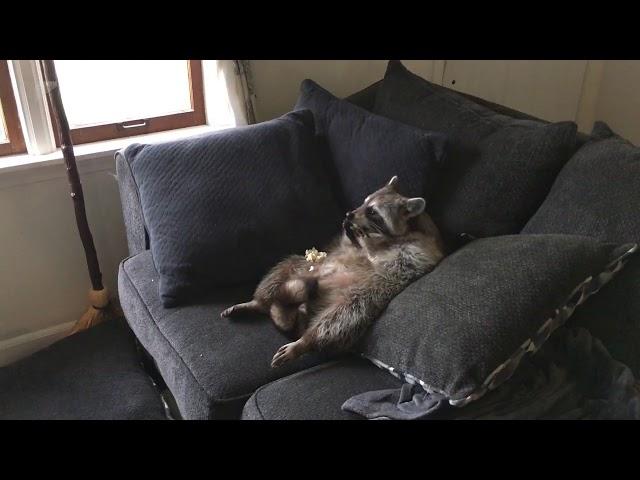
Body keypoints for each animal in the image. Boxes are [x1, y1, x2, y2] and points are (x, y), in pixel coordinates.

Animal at [221, 176, 444, 368]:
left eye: (373, 212)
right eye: (364, 202)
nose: (349, 214)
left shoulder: (420, 253)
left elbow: (392, 259)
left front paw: (365, 239)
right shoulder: (339, 246)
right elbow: (346, 244)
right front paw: (352, 232)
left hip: (362, 298)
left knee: (339, 319)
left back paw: (305, 340)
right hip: (300, 268)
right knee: (281, 272)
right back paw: (257, 303)